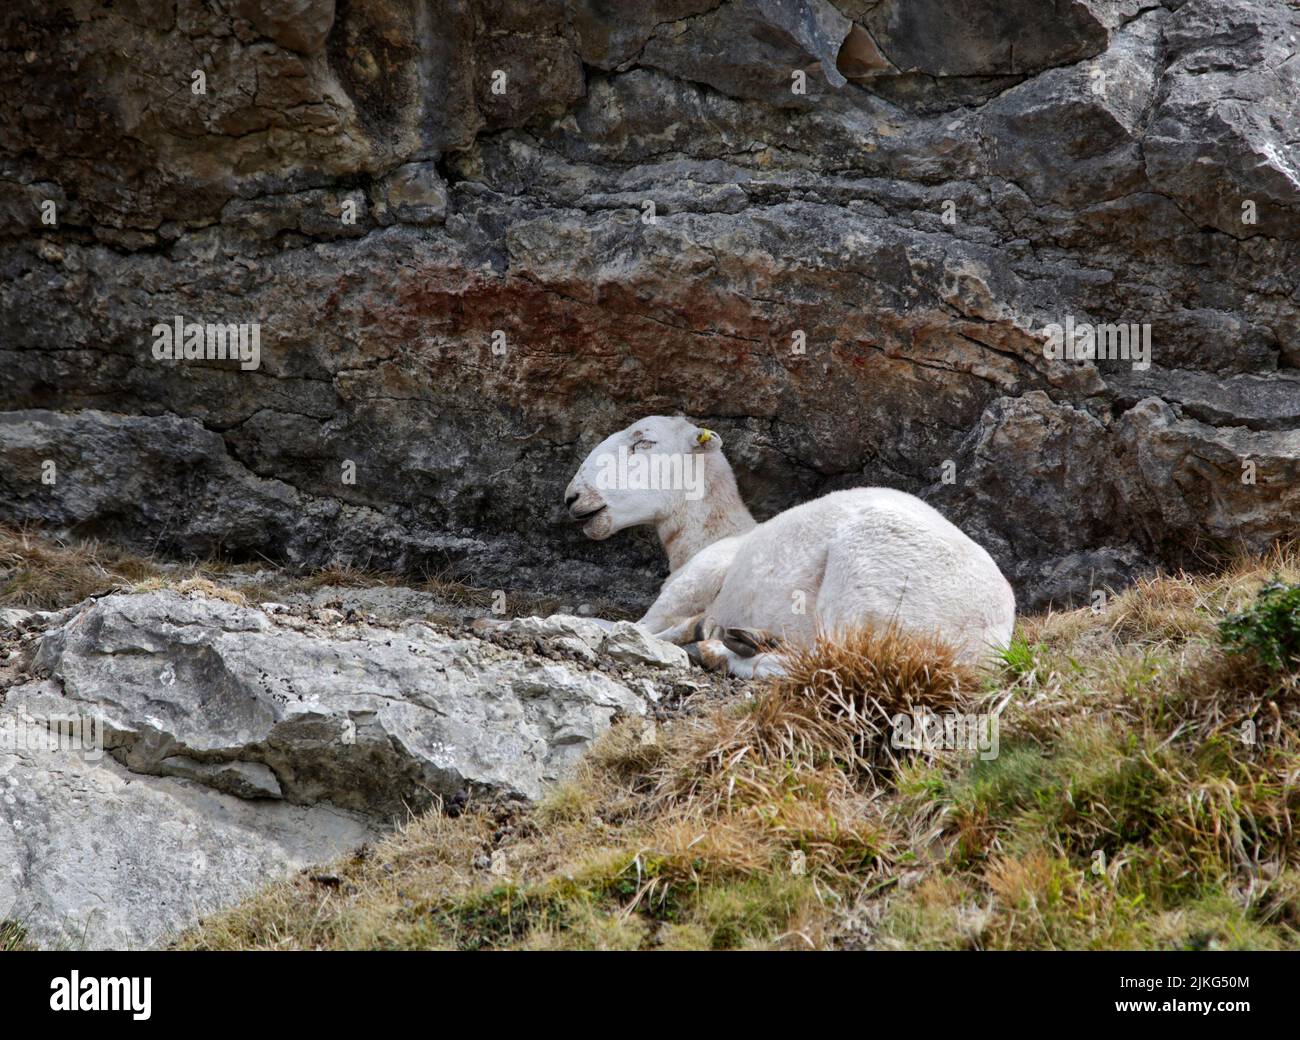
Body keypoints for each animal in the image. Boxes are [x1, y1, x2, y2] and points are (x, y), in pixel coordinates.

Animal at [566, 416, 1013, 681]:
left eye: (644, 442)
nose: (572, 497)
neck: (710, 536)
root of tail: (983, 640)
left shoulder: (693, 581)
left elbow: (630, 626)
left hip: (863, 581)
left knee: (829, 664)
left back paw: (717, 648)